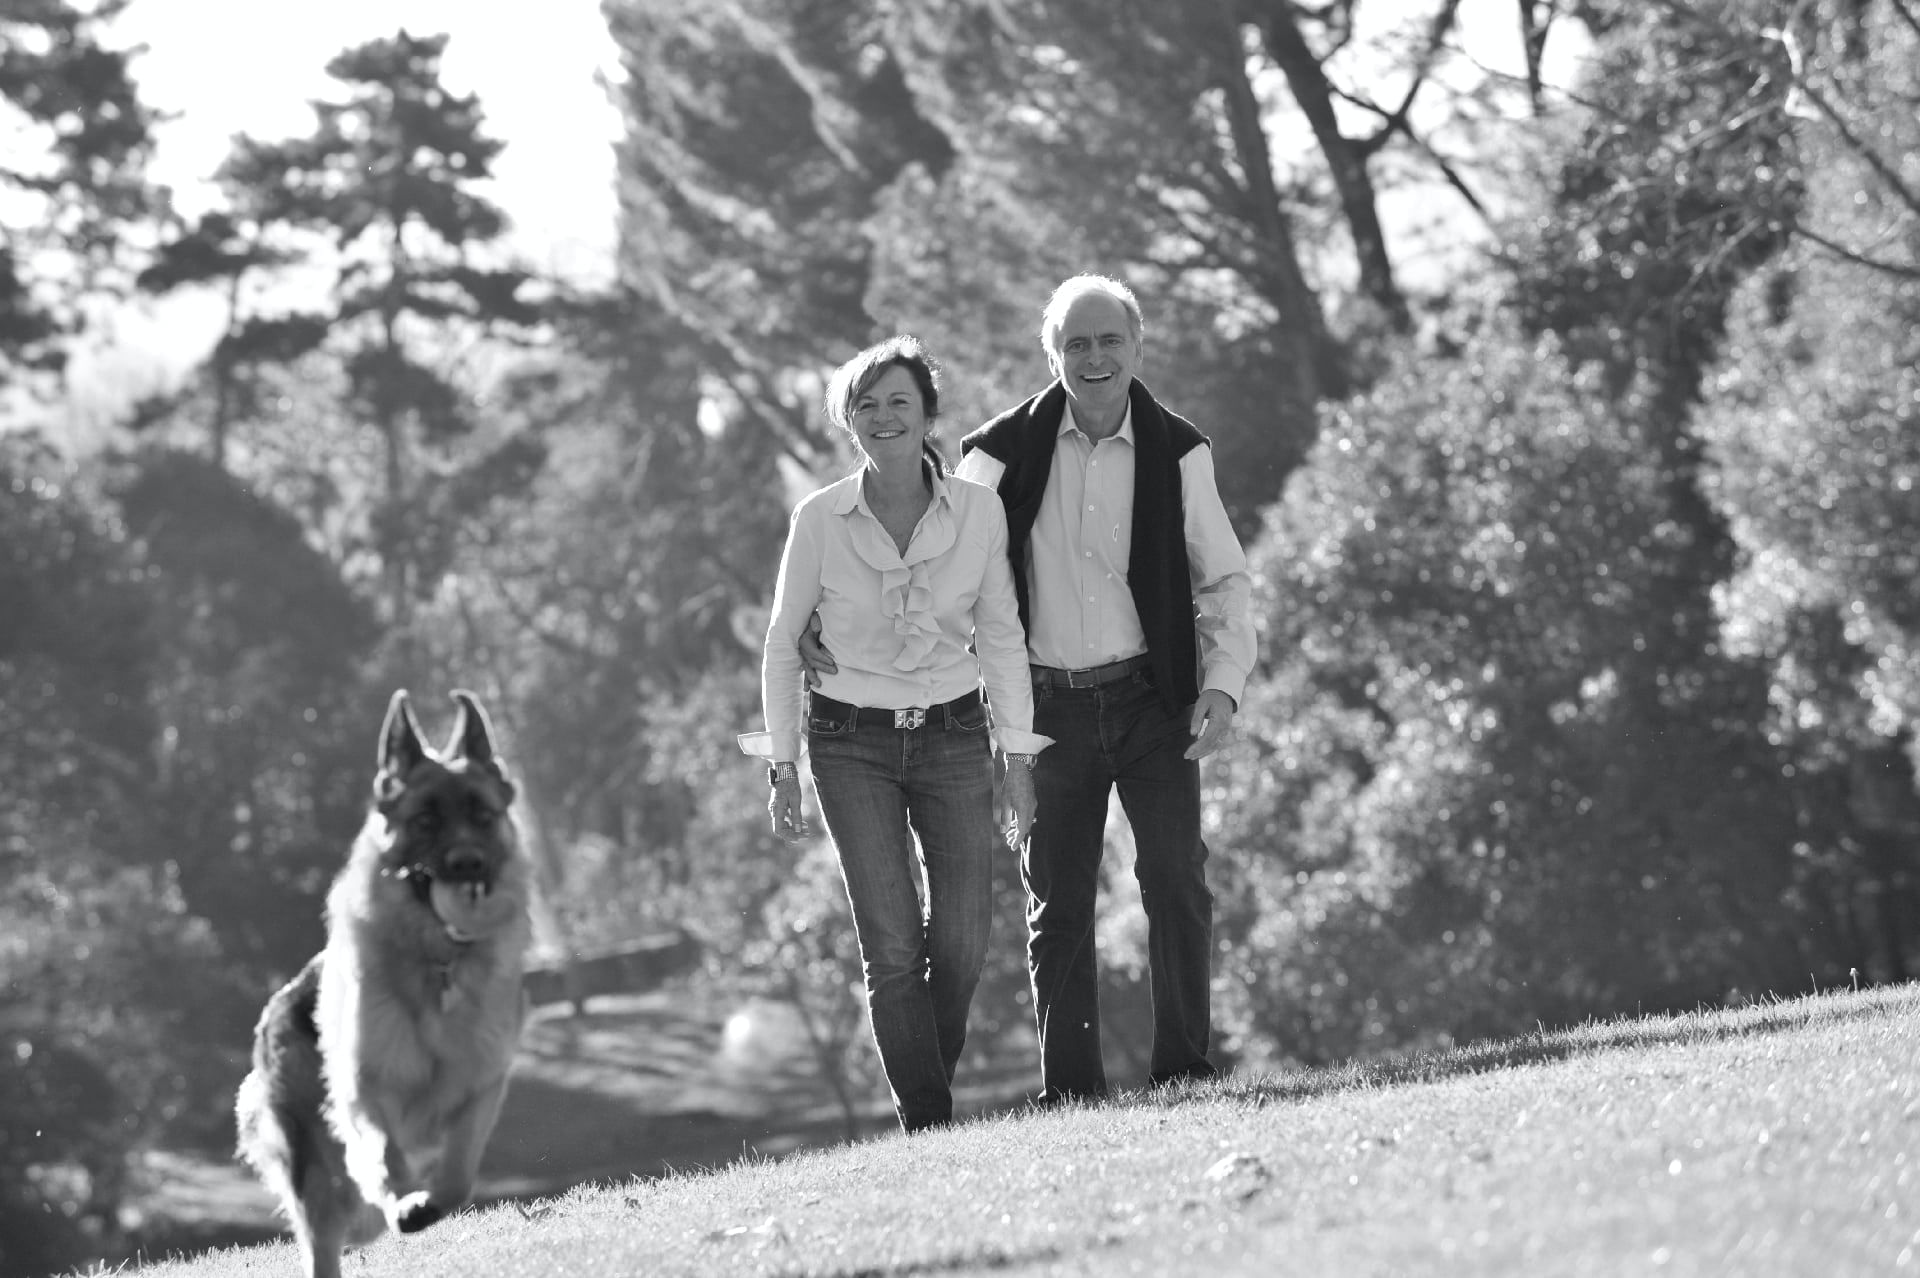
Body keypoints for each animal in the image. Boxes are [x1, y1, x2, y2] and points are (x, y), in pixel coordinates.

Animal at [235, 686, 533, 1274]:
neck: (438, 964)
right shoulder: (366, 1088)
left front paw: (428, 1201)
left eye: (483, 816)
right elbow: (383, 1153)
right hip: (314, 1167)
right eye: (425, 821)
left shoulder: (481, 1088)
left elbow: (458, 1175)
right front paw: (406, 1200)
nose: (467, 864)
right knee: (332, 1229)